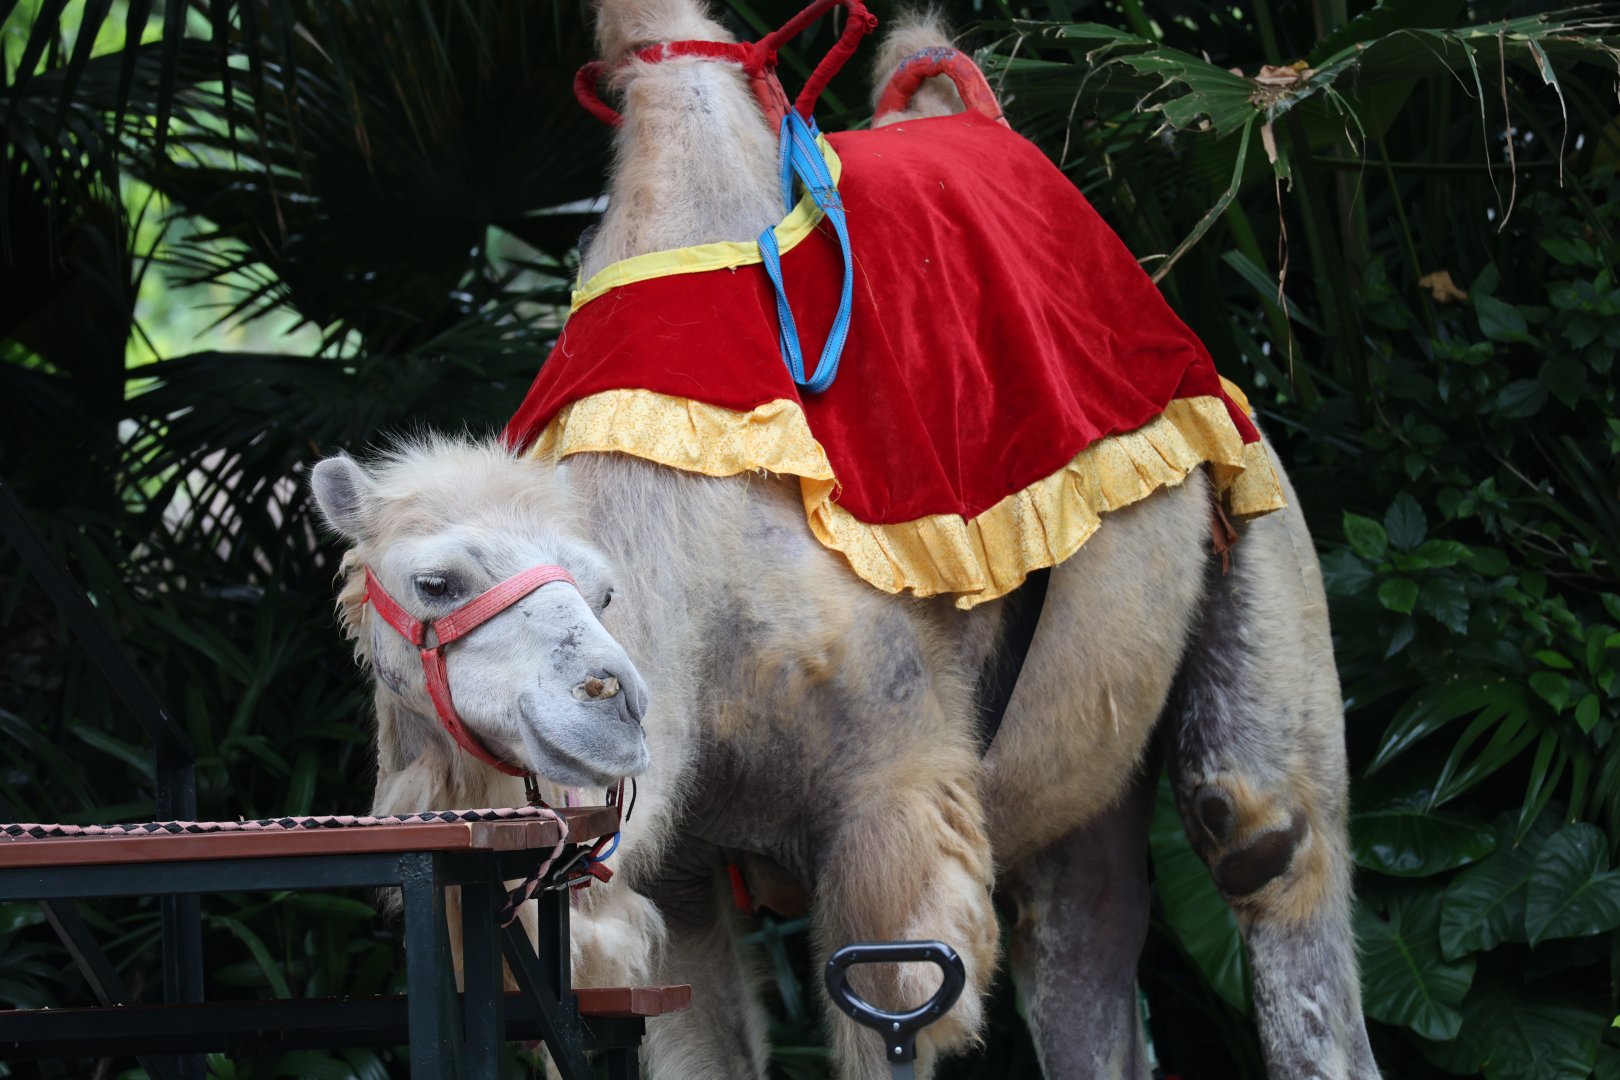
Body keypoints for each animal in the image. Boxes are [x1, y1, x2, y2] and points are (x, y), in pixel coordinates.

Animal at [309, 4, 1380, 1078]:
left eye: (603, 590)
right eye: (436, 581)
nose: (610, 703)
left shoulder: (894, 807)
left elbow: (893, 996)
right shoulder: (678, 876)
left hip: (1255, 500)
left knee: (1262, 836)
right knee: (1082, 927)